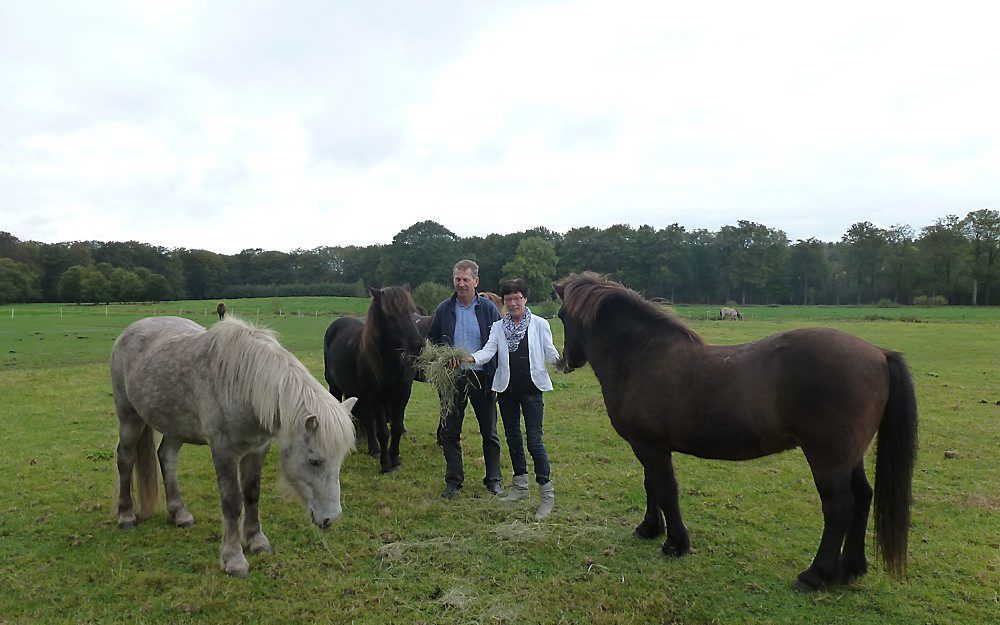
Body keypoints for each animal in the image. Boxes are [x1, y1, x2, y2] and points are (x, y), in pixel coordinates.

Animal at [110, 316, 356, 576]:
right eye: (314, 461)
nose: (331, 519)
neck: (244, 385)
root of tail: (131, 329)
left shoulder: (257, 449)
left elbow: (252, 494)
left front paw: (257, 541)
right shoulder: (224, 451)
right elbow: (232, 503)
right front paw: (233, 559)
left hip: (174, 426)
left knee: (166, 458)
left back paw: (179, 514)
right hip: (130, 418)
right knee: (125, 459)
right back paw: (125, 516)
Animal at [326, 288, 424, 472]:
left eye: (411, 312)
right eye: (390, 316)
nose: (418, 344)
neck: (390, 363)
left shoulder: (402, 395)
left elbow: (396, 427)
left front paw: (395, 460)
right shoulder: (377, 398)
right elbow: (383, 431)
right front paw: (386, 465)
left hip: (360, 394)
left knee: (366, 419)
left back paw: (374, 449)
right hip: (336, 387)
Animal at [552, 272, 916, 588]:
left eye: (560, 315)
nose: (565, 361)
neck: (641, 355)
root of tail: (879, 354)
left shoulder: (651, 446)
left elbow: (666, 490)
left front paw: (675, 544)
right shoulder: (648, 446)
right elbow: (651, 486)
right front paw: (649, 529)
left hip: (827, 456)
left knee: (839, 506)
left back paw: (816, 575)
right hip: (849, 455)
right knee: (863, 497)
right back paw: (852, 568)